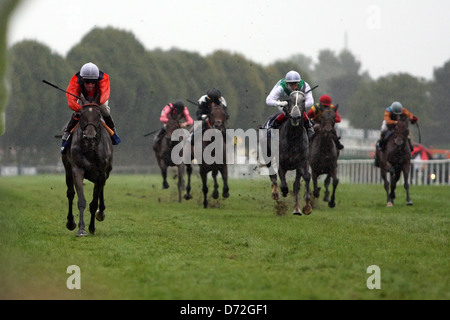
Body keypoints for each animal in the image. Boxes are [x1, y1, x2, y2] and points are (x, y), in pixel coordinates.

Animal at [62, 104, 113, 236]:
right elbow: (81, 199)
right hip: (68, 170)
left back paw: (100, 212)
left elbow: (94, 202)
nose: (90, 137)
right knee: (70, 193)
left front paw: (92, 226)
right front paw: (81, 229)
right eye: (81, 115)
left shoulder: (102, 173)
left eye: (98, 115)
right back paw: (70, 222)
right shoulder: (77, 169)